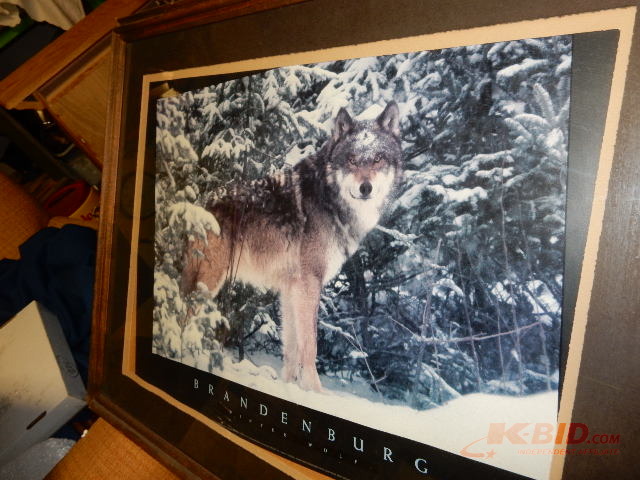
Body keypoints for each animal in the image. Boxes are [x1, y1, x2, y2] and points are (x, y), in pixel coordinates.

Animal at [181, 102, 403, 391]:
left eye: (378, 159)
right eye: (352, 159)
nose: (366, 188)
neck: (329, 199)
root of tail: (195, 205)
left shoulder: (290, 288)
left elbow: (291, 347)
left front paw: (290, 388)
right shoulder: (309, 283)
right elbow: (310, 345)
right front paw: (316, 392)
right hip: (210, 280)